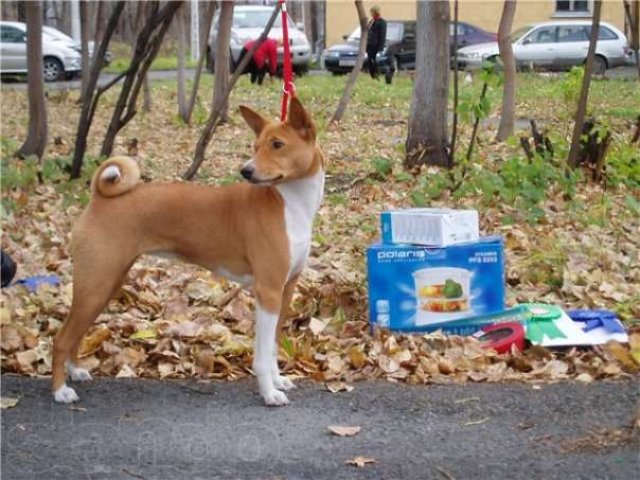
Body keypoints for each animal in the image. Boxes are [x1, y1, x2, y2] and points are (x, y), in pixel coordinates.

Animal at [52, 97, 324, 404]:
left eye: (277, 144)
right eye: (256, 146)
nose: (246, 171)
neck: (289, 205)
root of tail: (99, 198)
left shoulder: (285, 289)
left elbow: (274, 343)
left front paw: (278, 381)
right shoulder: (268, 290)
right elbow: (263, 354)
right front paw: (269, 393)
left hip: (106, 284)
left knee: (76, 335)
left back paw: (76, 371)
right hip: (96, 283)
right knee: (61, 339)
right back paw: (60, 391)